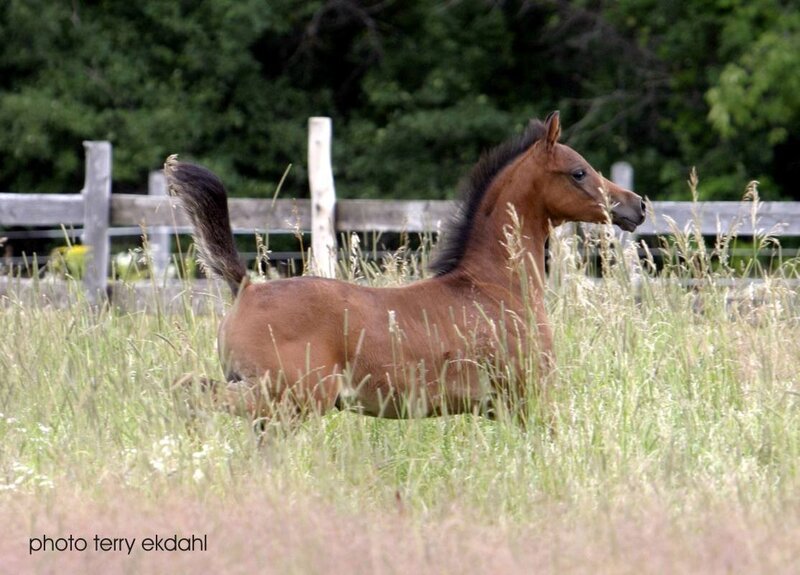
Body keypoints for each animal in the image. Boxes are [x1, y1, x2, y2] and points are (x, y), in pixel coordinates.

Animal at [166, 111, 645, 424]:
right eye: (579, 172)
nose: (636, 205)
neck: (495, 286)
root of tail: (247, 287)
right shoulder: (527, 398)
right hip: (286, 397)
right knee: (190, 396)